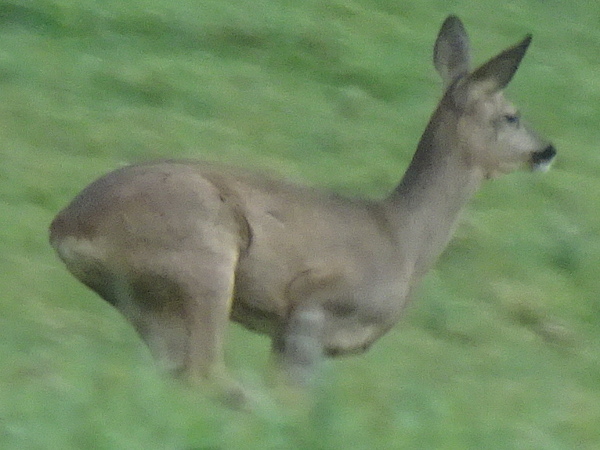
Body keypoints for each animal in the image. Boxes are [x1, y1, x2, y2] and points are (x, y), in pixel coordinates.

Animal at [49, 15, 556, 406]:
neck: (402, 240)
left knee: (179, 374)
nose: (547, 150)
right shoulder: (313, 308)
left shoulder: (287, 333)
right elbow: (293, 398)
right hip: (201, 258)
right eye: (511, 115)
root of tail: (66, 226)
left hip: (146, 301)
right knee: (206, 372)